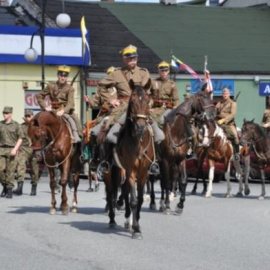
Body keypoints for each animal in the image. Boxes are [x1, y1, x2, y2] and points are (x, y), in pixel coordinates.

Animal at [103, 79, 154, 239]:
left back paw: (127, 221)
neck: (138, 141)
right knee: (111, 193)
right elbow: (133, 200)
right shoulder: (131, 170)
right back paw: (112, 220)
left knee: (123, 192)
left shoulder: (143, 172)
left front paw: (136, 226)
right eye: (132, 101)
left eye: (148, 101)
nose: (140, 127)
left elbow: (139, 200)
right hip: (110, 171)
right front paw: (136, 229)